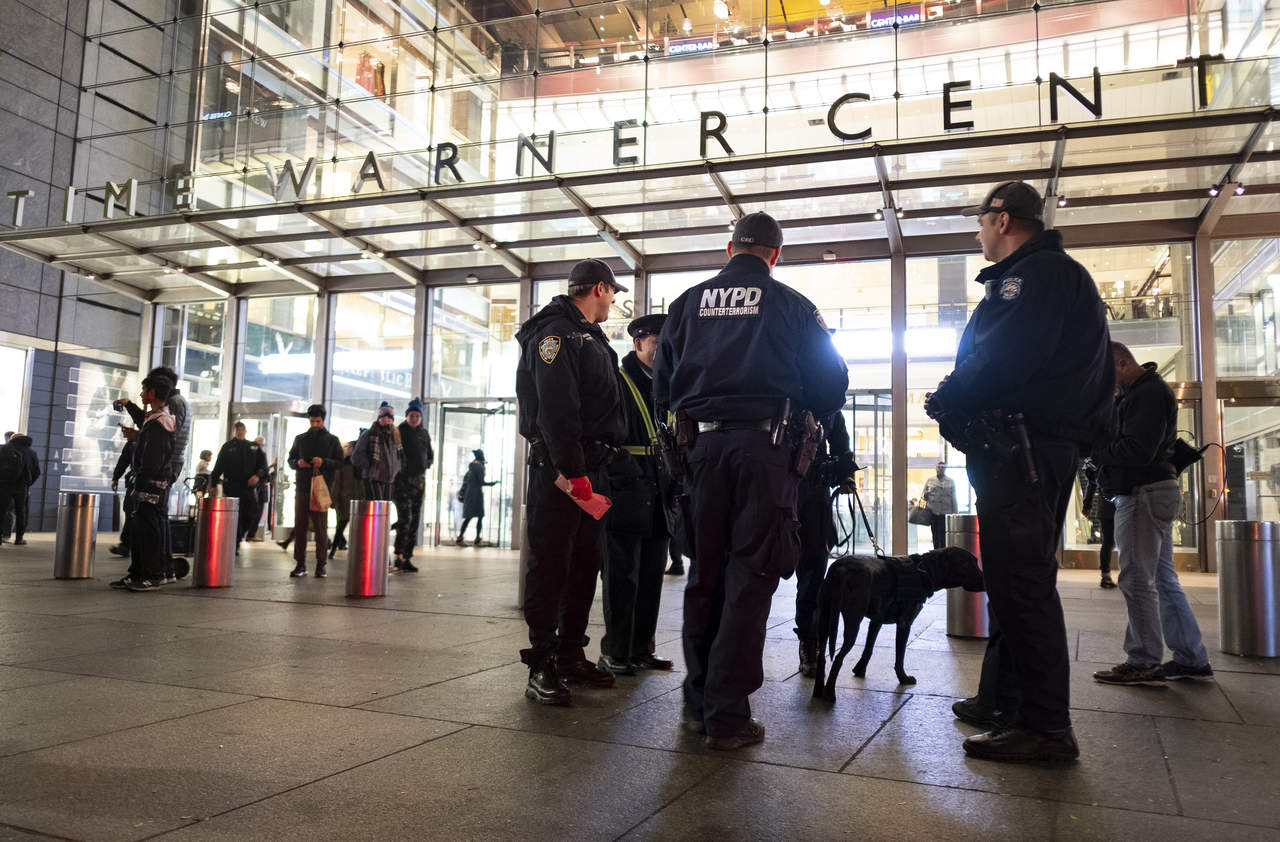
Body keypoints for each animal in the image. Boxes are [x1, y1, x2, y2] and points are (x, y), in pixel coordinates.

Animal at [814, 540, 983, 696]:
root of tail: (840, 567)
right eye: (967, 564)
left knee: (822, 656)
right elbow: (899, 656)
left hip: (824, 621)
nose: (986, 582)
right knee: (838, 658)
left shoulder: (876, 621)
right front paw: (903, 678)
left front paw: (860, 670)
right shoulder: (904, 623)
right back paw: (829, 694)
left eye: (975, 561)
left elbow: (869, 648)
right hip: (852, 622)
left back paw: (818, 690)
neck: (924, 572)